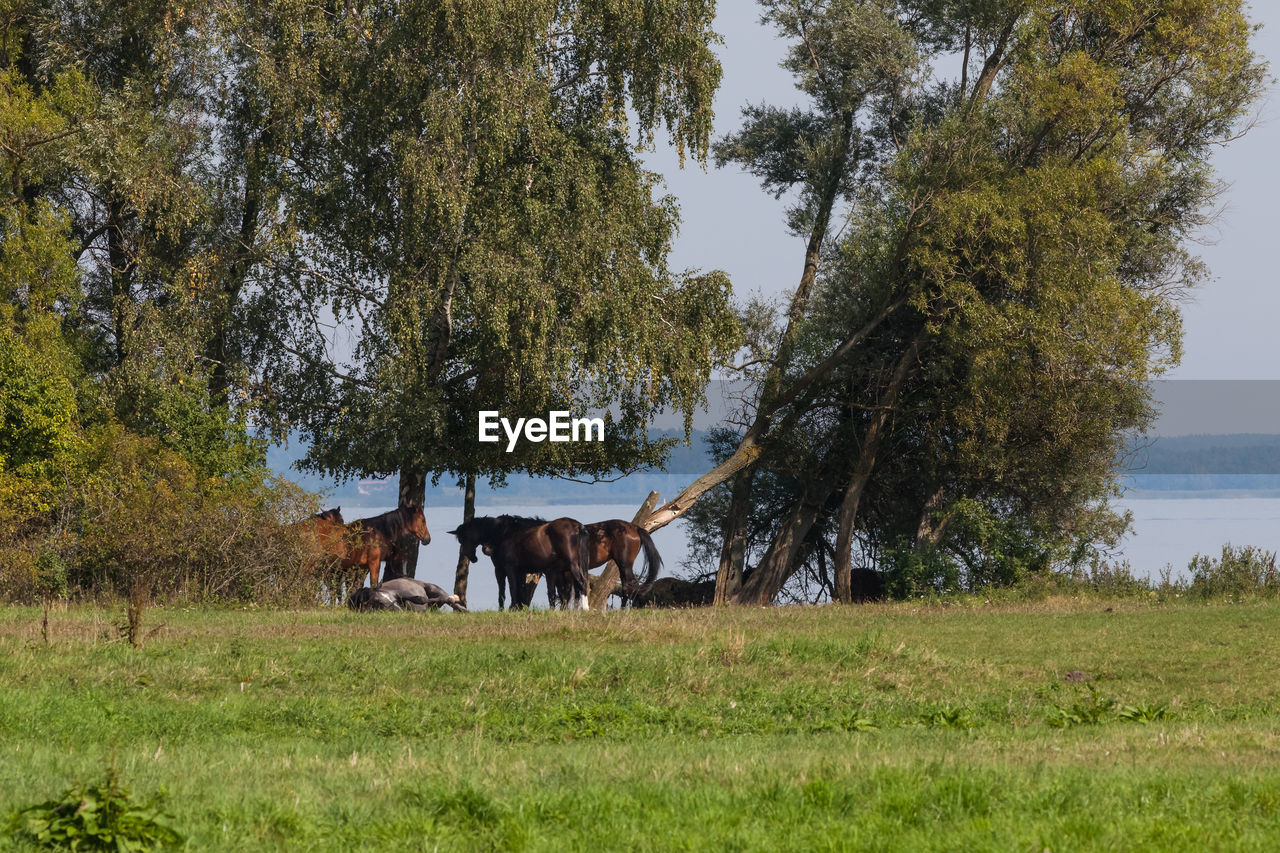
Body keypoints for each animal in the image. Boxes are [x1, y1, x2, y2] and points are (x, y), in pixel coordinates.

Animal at [448, 514, 591, 607]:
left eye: (464, 538)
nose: (471, 557)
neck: (504, 533)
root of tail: (578, 527)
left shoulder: (505, 569)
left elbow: (509, 589)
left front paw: (509, 608)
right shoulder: (521, 571)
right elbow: (520, 591)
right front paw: (519, 608)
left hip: (572, 566)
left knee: (581, 583)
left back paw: (585, 609)